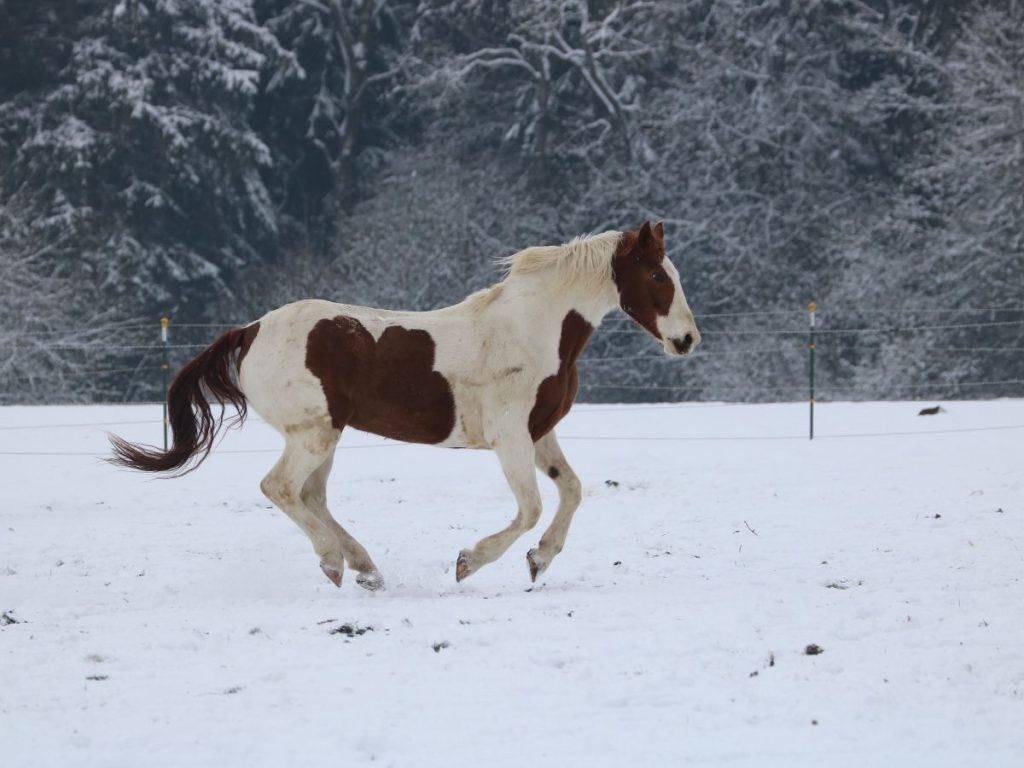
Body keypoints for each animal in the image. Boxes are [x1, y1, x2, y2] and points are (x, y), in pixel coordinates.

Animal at [110, 221, 701, 590]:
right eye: (657, 275)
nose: (688, 340)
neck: (532, 330)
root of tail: (250, 329)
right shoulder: (509, 438)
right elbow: (531, 508)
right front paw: (468, 563)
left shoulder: (539, 434)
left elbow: (573, 491)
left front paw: (540, 561)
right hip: (312, 435)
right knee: (279, 489)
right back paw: (334, 563)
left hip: (325, 436)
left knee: (311, 497)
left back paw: (366, 569)